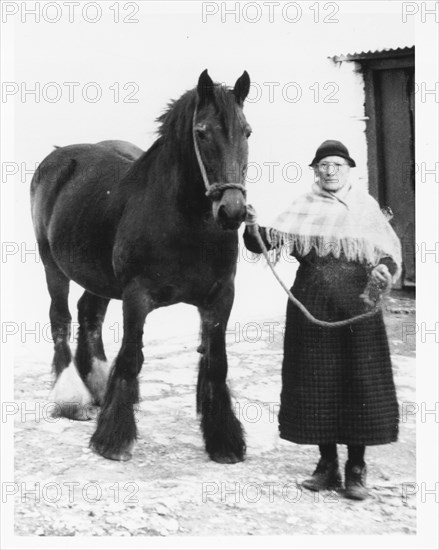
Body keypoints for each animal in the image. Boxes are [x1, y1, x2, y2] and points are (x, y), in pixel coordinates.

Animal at [30, 70, 251, 466]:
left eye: (247, 132)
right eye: (201, 132)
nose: (233, 211)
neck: (187, 223)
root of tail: (58, 156)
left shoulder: (221, 297)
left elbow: (216, 364)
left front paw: (224, 441)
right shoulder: (137, 296)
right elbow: (131, 358)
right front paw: (113, 441)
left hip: (98, 277)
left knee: (89, 314)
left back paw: (96, 387)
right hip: (51, 264)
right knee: (61, 318)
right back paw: (72, 398)